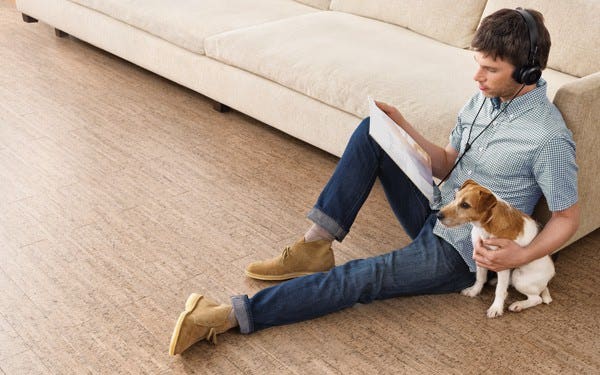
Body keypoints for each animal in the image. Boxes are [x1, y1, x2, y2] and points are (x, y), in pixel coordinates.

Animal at [434, 181, 556, 318]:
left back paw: (518, 305)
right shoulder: (481, 255)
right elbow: (480, 278)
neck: (486, 225)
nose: (438, 215)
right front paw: (474, 291)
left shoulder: (502, 264)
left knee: (536, 299)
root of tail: (548, 279)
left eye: (465, 205)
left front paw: (496, 308)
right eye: (454, 197)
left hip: (519, 277)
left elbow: (500, 290)